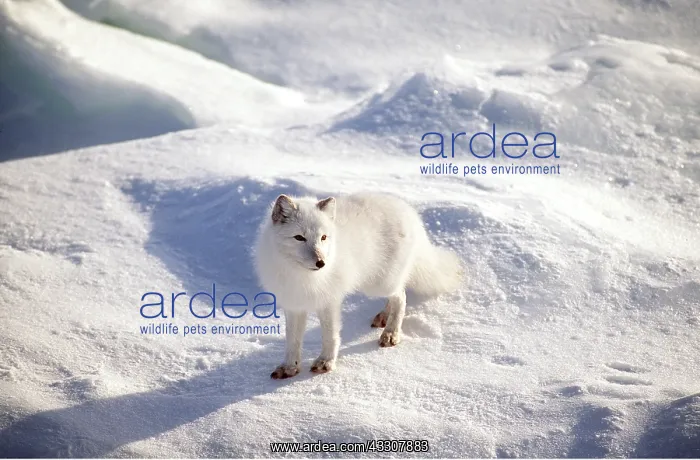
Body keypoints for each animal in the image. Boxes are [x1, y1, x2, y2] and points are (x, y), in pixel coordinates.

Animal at [253, 192, 462, 379]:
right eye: (299, 237)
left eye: (323, 237)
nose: (321, 263)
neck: (300, 276)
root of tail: (410, 213)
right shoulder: (293, 304)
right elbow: (292, 340)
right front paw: (289, 367)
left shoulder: (329, 301)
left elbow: (330, 336)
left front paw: (325, 362)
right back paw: (384, 317)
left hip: (379, 284)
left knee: (401, 296)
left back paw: (391, 333)